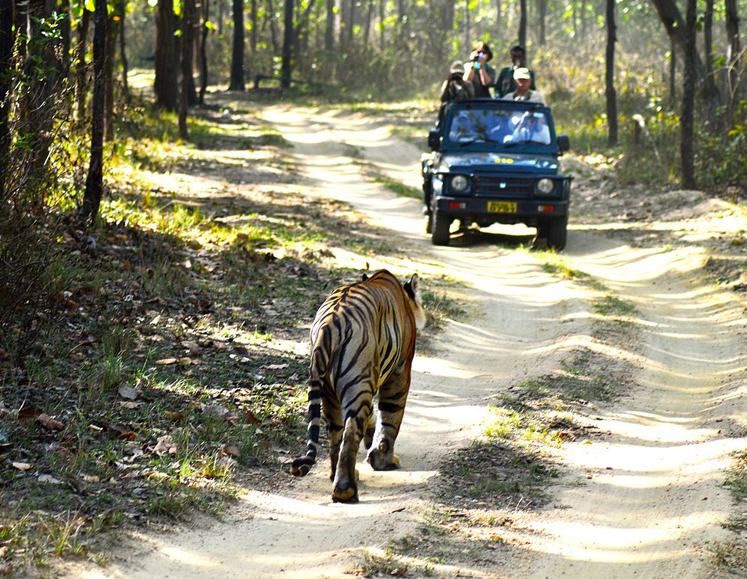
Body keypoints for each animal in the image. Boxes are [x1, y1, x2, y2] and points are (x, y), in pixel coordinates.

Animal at [292, 272, 426, 502]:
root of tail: (328, 325)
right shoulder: (400, 372)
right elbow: (390, 417)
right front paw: (383, 459)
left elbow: (374, 414)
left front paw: (371, 439)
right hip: (357, 384)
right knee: (349, 433)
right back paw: (346, 490)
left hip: (331, 391)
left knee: (335, 435)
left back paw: (339, 476)